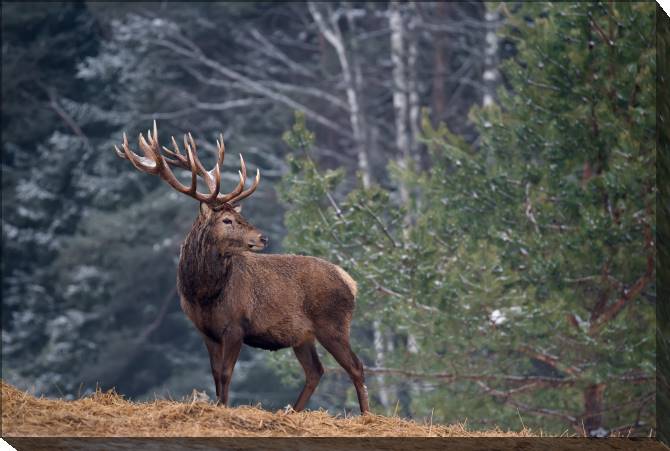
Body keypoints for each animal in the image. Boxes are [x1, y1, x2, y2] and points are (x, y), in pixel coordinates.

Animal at [114, 121, 369, 414]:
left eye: (240, 216)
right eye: (227, 220)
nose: (263, 237)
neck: (203, 294)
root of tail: (350, 281)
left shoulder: (236, 325)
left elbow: (226, 374)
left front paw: (224, 407)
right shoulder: (206, 331)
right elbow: (215, 375)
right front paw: (217, 406)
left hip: (333, 323)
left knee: (356, 366)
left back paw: (366, 416)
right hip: (303, 336)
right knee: (315, 371)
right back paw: (292, 411)